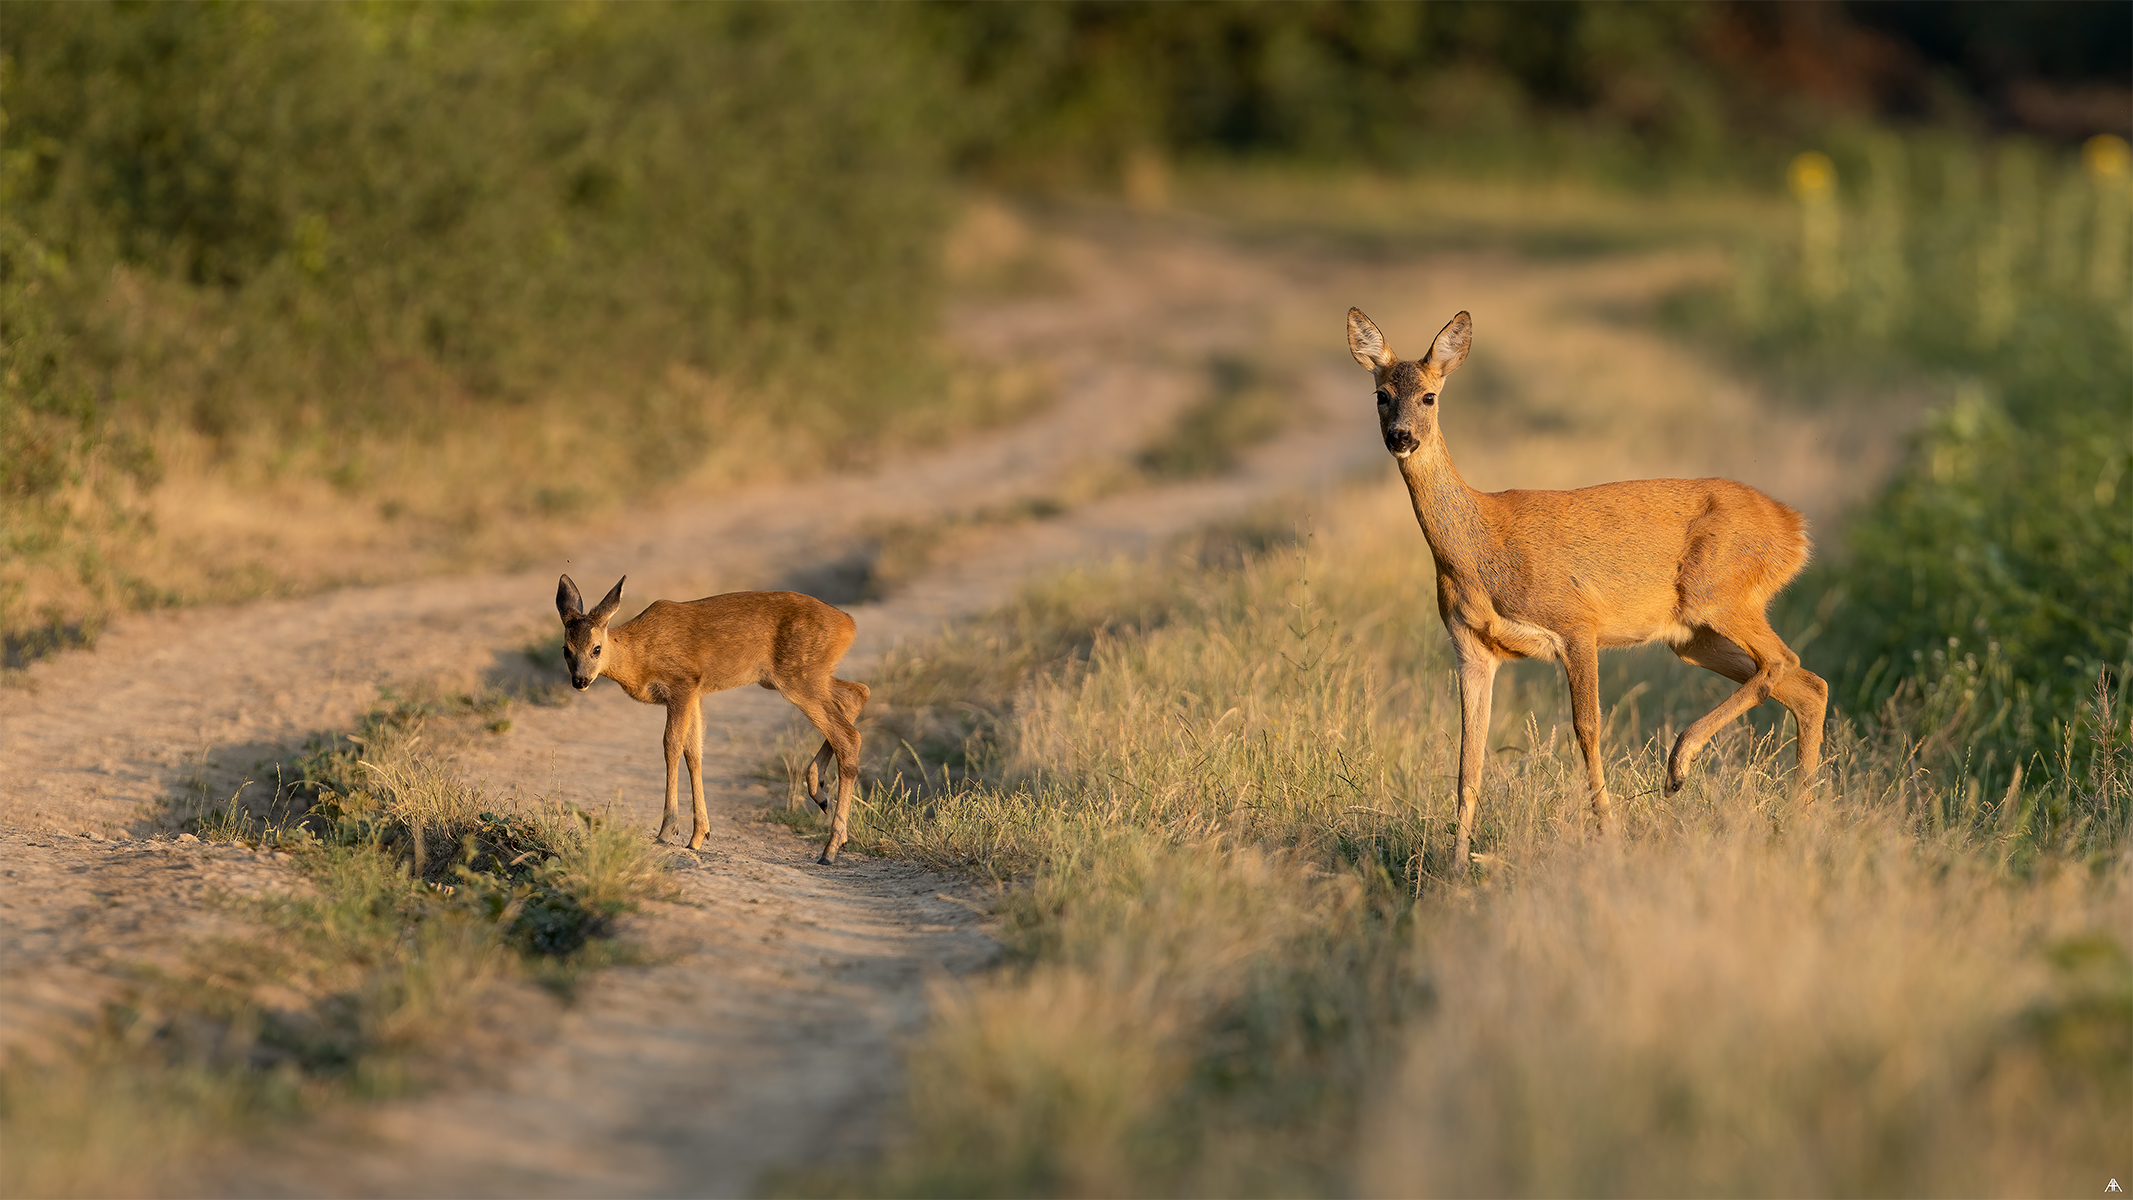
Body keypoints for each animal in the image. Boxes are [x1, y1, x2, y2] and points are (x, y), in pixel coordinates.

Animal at [555, 575, 871, 864]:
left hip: (798, 676)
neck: (640, 654)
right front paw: (698, 836)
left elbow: (671, 746)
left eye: (596, 648)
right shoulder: (696, 693)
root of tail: (850, 625)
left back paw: (830, 848)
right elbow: (694, 752)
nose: (580, 680)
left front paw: (666, 831)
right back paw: (821, 794)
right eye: (565, 649)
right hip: (799, 677)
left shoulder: (682, 684)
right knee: (857, 693)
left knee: (849, 735)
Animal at [1346, 308, 1827, 871]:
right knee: (1807, 684)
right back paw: (1799, 821)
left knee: (1782, 663)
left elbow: (1587, 728)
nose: (1401, 436)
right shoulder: (1471, 647)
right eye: (1381, 394)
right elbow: (1470, 756)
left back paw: (1679, 766)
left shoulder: (1577, 622)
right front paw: (1456, 865)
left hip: (1721, 592)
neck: (1481, 545)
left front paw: (1610, 832)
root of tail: (1795, 529)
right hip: (1693, 635)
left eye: (1429, 396)